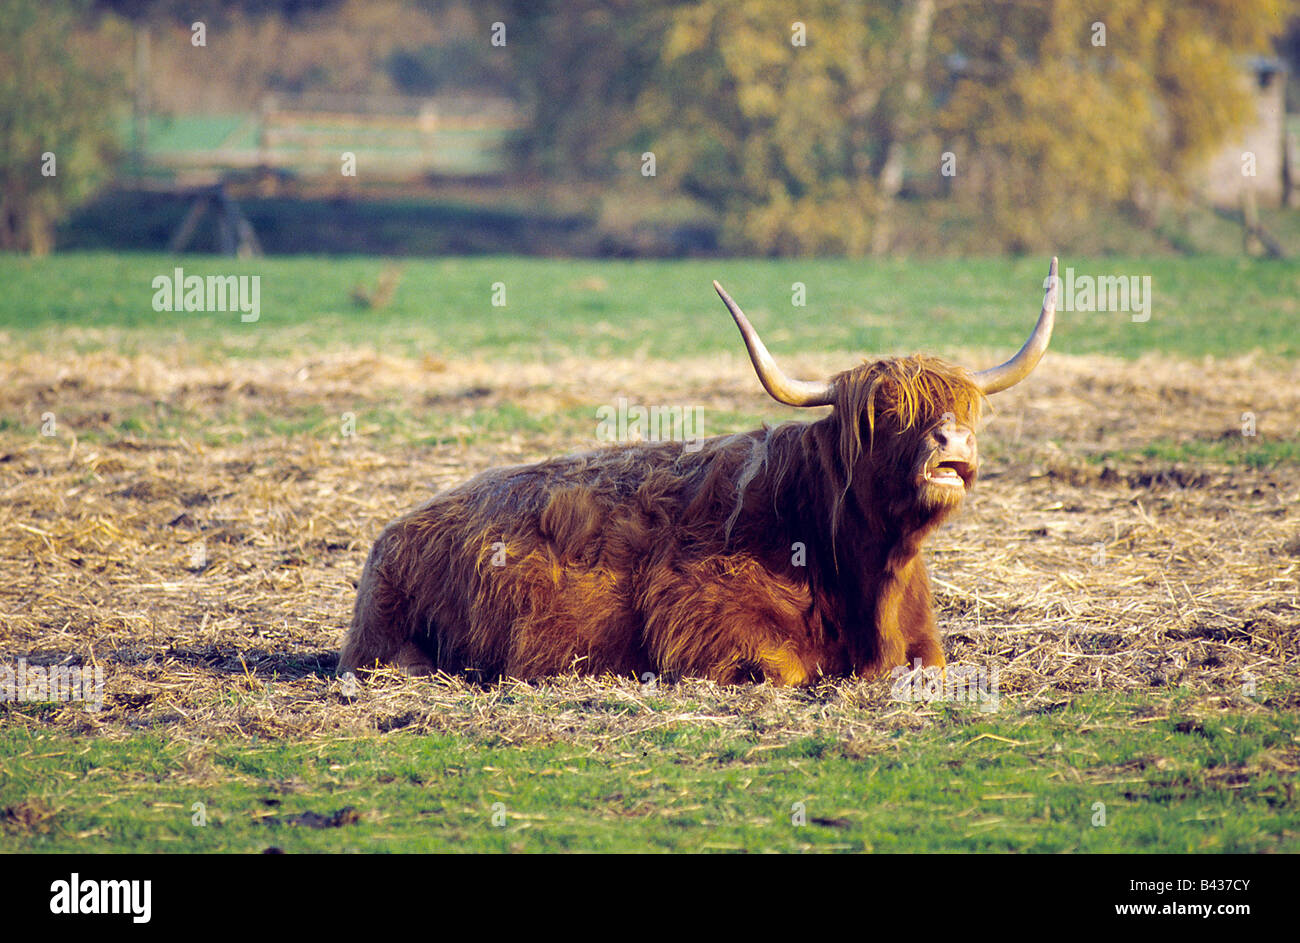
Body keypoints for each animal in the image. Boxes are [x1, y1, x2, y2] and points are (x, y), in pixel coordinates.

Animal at [338, 257, 1055, 686]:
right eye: (883, 413)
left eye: (962, 407)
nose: (953, 440)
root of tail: (391, 532)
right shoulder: (701, 621)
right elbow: (785, 668)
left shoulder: (924, 645)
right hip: (391, 646)